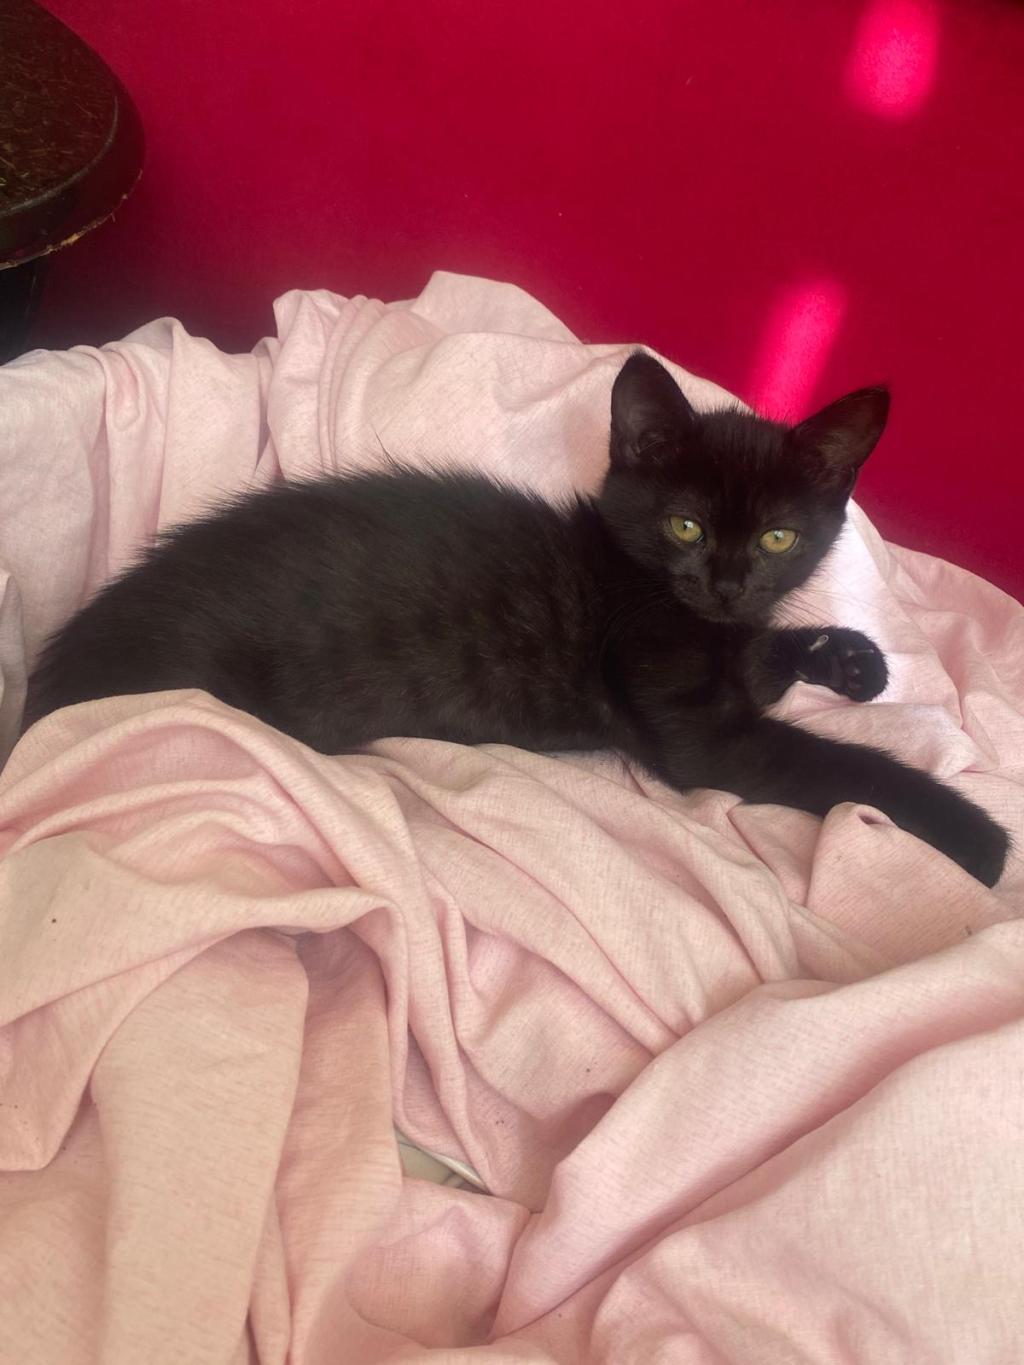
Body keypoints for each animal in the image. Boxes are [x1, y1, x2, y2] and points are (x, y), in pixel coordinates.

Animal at [23, 352, 1009, 885]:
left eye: (777, 537)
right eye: (685, 525)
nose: (726, 583)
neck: (673, 601)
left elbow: (768, 657)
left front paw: (852, 660)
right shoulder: (695, 725)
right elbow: (836, 762)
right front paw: (980, 837)